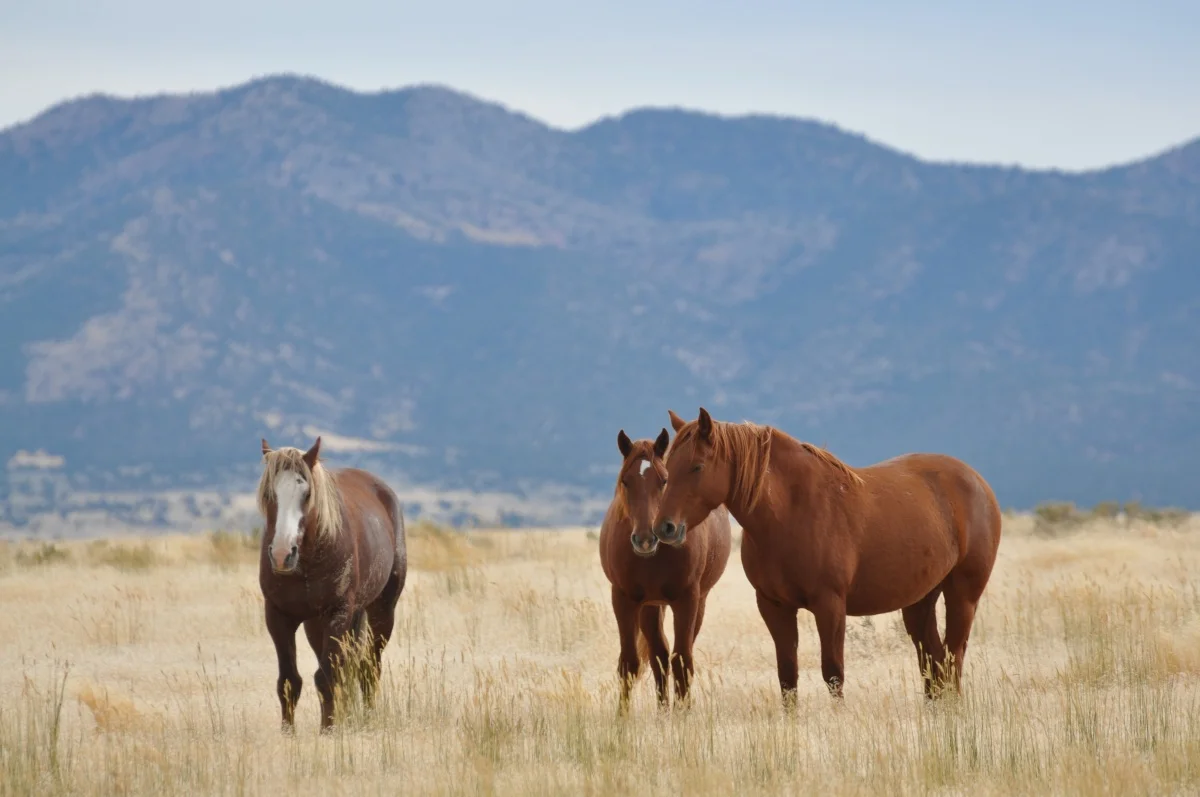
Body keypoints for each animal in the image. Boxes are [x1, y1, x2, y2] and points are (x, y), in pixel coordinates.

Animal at [256, 436, 408, 732]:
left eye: (306, 495)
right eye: (269, 494)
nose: (282, 554)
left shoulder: (338, 613)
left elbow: (327, 677)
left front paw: (328, 731)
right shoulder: (278, 616)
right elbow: (289, 681)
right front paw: (288, 734)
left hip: (382, 611)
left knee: (368, 667)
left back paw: (367, 719)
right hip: (320, 624)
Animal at [598, 427, 732, 711]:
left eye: (663, 481)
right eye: (625, 481)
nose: (645, 538)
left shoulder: (687, 600)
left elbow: (682, 660)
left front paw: (684, 714)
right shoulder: (623, 599)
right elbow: (629, 663)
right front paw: (621, 718)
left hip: (697, 602)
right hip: (650, 606)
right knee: (658, 654)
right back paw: (661, 711)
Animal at [653, 408, 1001, 705]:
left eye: (697, 467)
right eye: (667, 471)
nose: (664, 528)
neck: (792, 512)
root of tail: (977, 482)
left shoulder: (830, 604)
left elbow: (833, 672)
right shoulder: (773, 606)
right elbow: (787, 676)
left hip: (963, 595)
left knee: (954, 656)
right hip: (920, 601)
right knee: (934, 661)